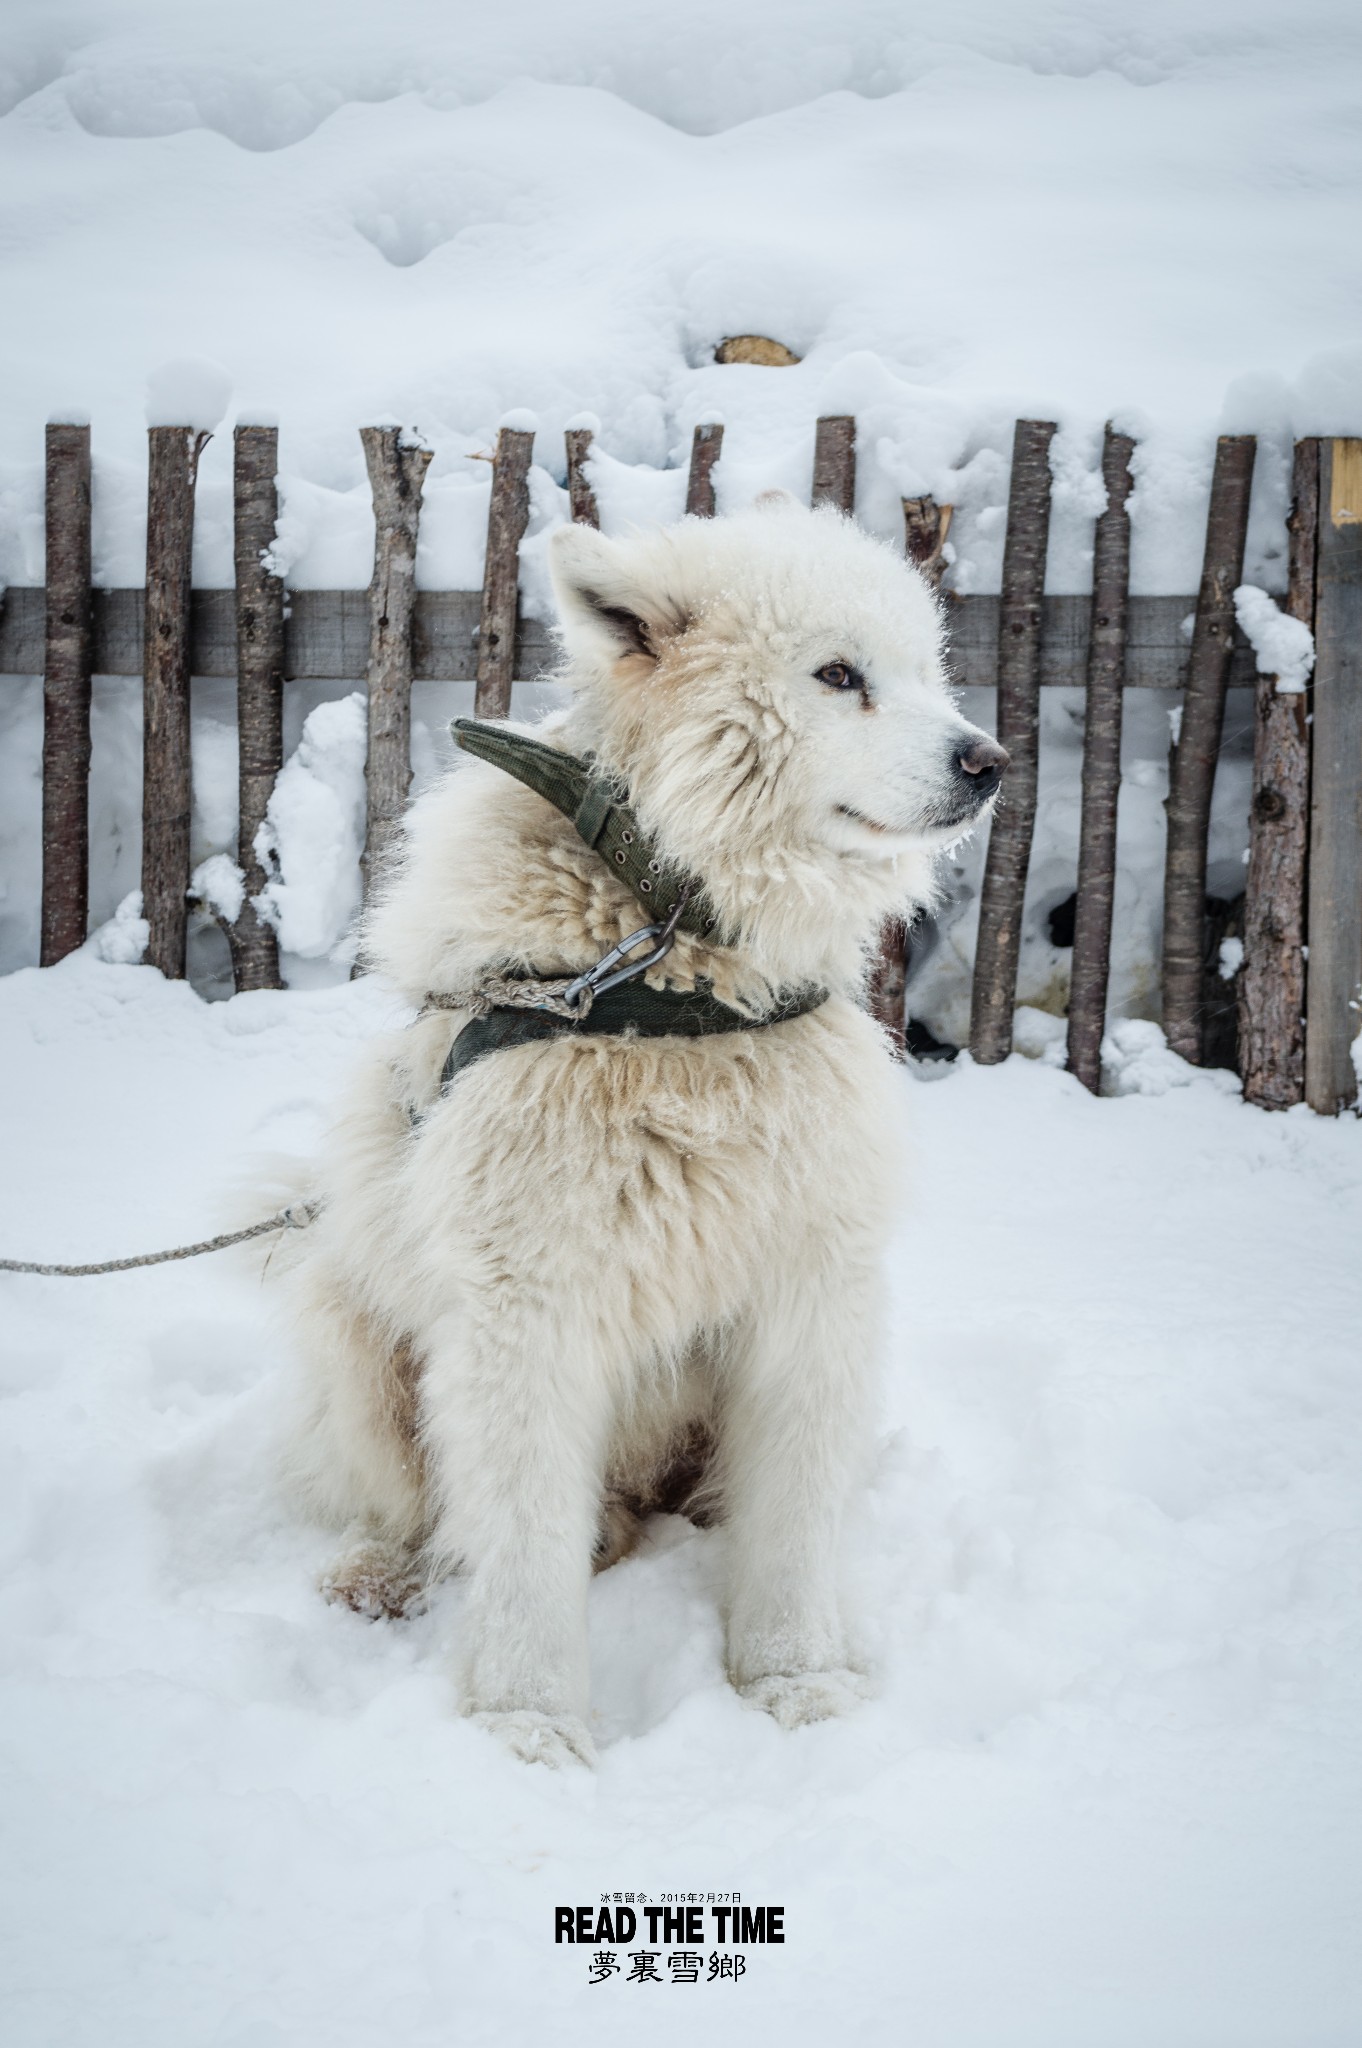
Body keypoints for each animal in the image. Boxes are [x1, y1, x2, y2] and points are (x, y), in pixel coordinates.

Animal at [284, 495, 999, 1761]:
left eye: (928, 671)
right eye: (838, 674)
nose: (990, 762)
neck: (675, 973)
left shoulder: (811, 1288)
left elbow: (791, 1524)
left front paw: (797, 1684)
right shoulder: (525, 1305)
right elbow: (521, 1542)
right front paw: (528, 1727)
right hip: (353, 1332)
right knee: (408, 1506)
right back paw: (381, 1572)